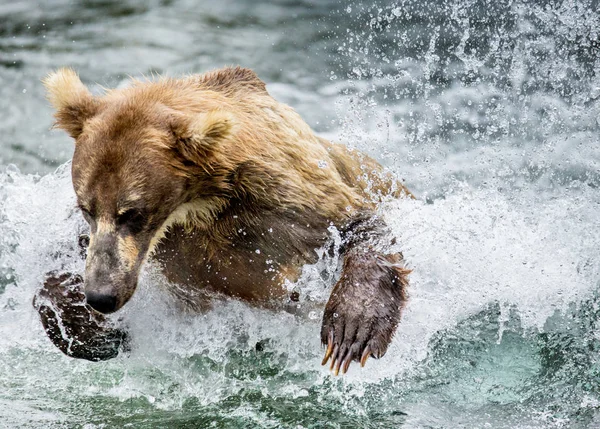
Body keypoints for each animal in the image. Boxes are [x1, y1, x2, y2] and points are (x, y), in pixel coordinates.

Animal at [35, 65, 412, 372]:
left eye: (134, 212)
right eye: (86, 207)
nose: (101, 295)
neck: (202, 204)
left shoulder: (285, 203)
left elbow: (357, 225)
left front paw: (351, 329)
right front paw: (86, 328)